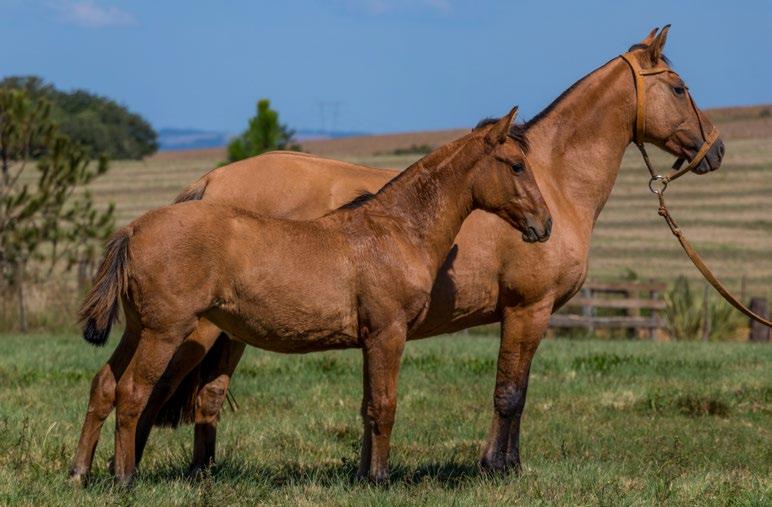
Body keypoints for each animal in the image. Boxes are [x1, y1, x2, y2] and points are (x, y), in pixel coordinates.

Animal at [71, 109, 548, 486]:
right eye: (516, 165)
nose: (544, 225)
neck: (394, 231)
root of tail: (134, 229)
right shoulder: (387, 333)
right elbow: (385, 404)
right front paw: (380, 478)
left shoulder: (370, 339)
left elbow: (367, 407)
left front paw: (363, 476)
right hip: (164, 333)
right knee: (133, 392)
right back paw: (124, 477)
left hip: (136, 330)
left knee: (104, 385)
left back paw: (80, 472)